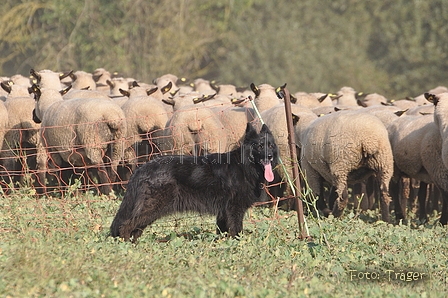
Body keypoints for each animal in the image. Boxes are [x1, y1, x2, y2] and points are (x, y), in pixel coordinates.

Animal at [110, 123, 278, 242]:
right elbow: (236, 232)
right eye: (260, 146)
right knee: (126, 225)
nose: (270, 156)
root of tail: (143, 168)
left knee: (135, 228)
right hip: (153, 207)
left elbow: (222, 233)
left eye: (270, 145)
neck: (244, 166)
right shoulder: (234, 210)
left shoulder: (223, 213)